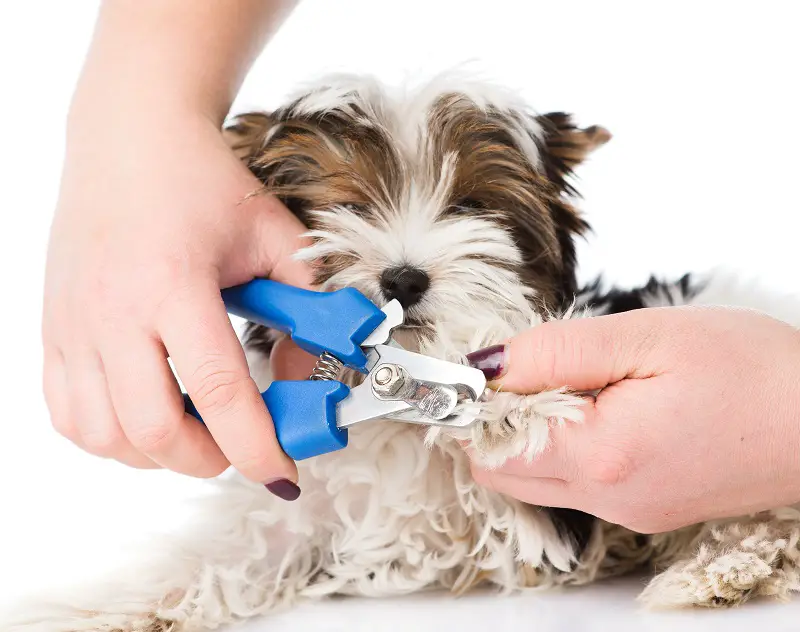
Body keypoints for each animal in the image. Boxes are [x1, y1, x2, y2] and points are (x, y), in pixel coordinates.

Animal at [9, 71, 800, 628]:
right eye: (345, 205)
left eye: (471, 206)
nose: (403, 278)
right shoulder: (304, 503)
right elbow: (234, 549)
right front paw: (103, 607)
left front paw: (509, 398)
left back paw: (724, 565)